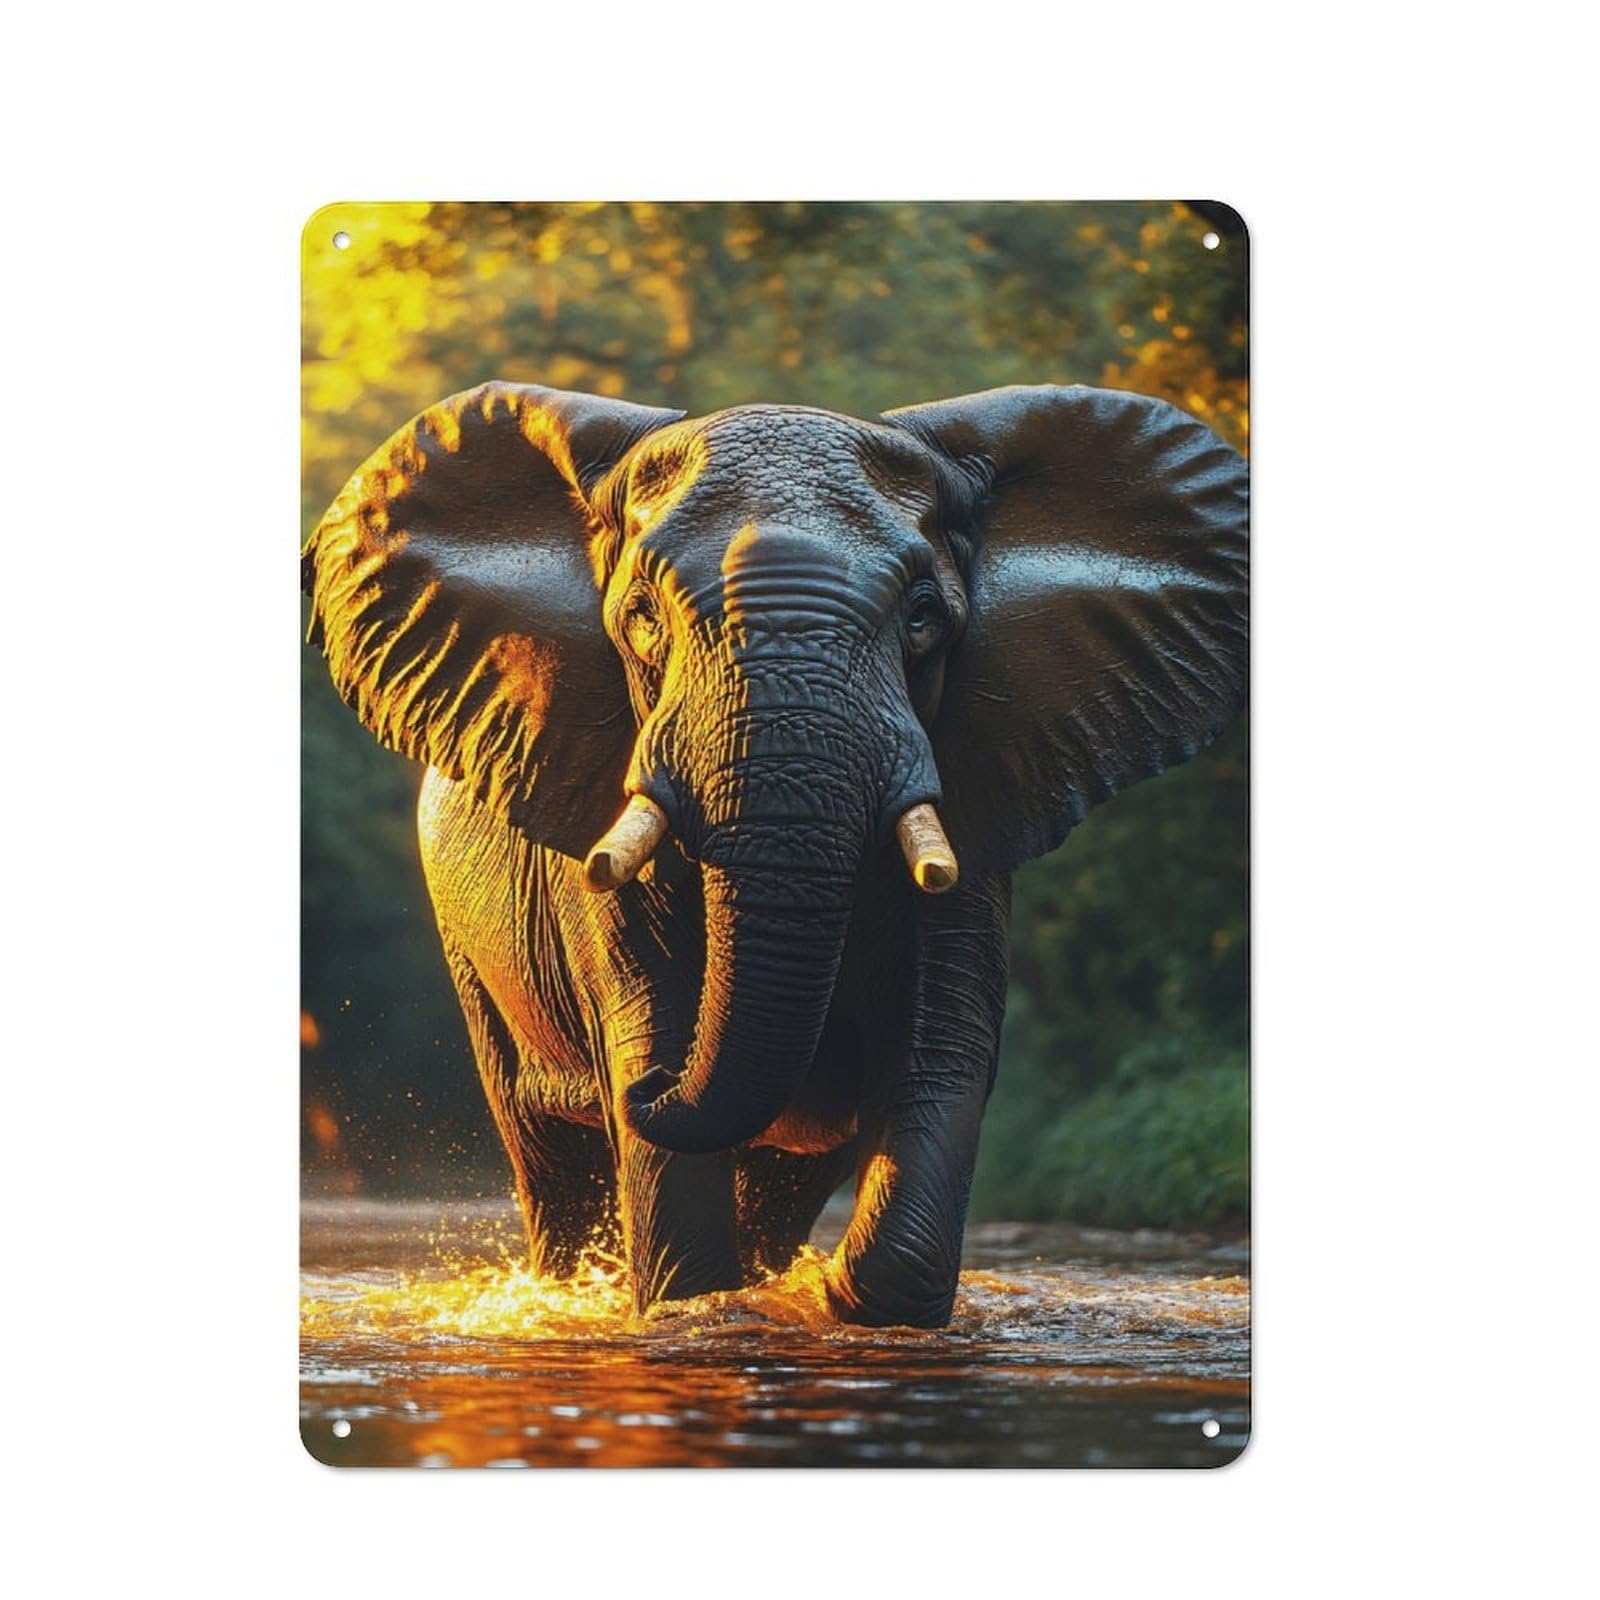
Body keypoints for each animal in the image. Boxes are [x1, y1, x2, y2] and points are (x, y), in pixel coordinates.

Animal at [302, 380, 1248, 1327]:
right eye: (642, 620)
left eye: (923, 618)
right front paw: (704, 1304)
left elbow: (941, 1049)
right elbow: (657, 1031)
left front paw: (837, 1298)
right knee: (550, 1163)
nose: (647, 1089)